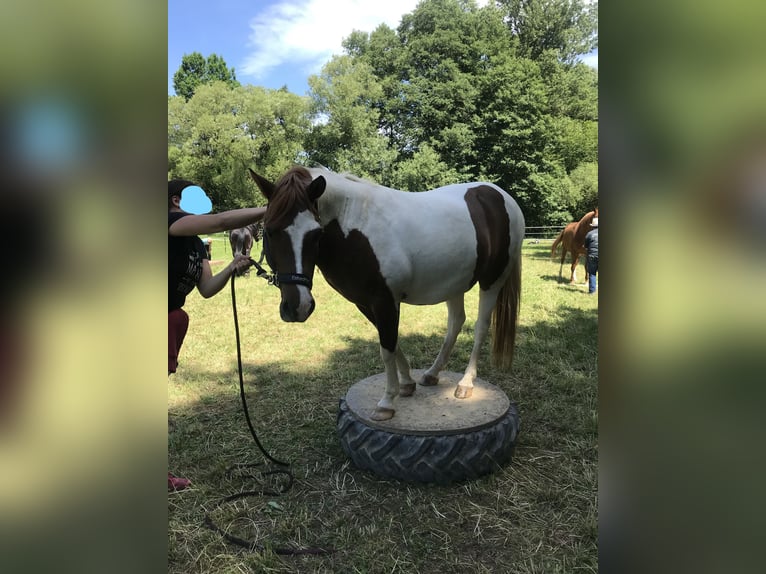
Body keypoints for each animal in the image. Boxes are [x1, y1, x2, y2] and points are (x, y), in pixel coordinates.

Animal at [249, 166, 524, 424]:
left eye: (316, 234)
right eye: (270, 230)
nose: (299, 307)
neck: (355, 226)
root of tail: (500, 196)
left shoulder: (385, 301)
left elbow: (387, 348)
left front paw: (387, 402)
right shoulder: (366, 303)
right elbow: (391, 342)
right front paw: (407, 383)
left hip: (492, 281)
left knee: (480, 327)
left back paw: (466, 383)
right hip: (455, 283)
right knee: (455, 323)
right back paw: (432, 374)